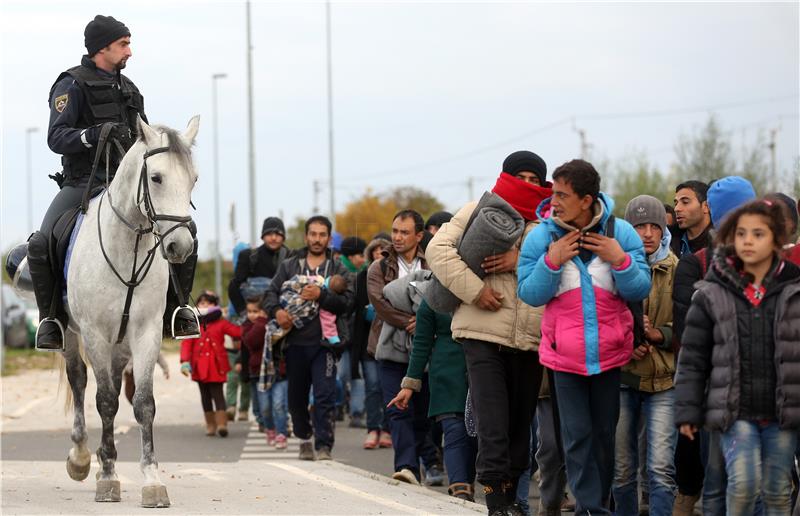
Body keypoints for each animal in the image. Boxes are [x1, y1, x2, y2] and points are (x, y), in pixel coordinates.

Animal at [61, 115, 199, 506]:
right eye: (157, 177)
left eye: (194, 179)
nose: (180, 246)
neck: (128, 249)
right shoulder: (94, 333)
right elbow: (106, 401)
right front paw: (107, 475)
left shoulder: (146, 332)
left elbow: (143, 404)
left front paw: (152, 479)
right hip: (71, 333)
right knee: (79, 380)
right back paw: (80, 459)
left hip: (121, 343)